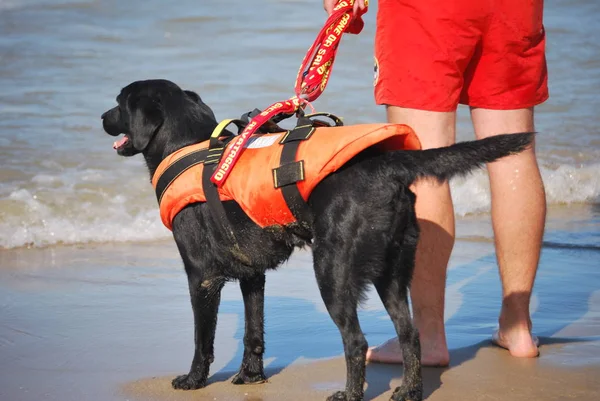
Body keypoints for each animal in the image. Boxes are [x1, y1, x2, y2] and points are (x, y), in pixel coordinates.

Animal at [101, 79, 532, 400]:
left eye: (119, 102)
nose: (102, 116)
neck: (187, 147)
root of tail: (387, 164)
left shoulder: (201, 277)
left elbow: (202, 340)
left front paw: (193, 381)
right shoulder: (252, 276)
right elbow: (253, 331)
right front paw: (251, 377)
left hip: (332, 269)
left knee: (355, 341)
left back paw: (350, 394)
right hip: (392, 270)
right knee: (409, 334)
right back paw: (408, 391)